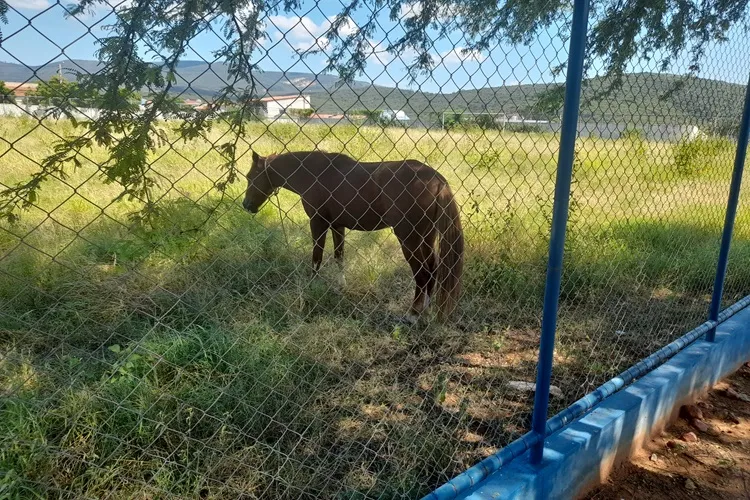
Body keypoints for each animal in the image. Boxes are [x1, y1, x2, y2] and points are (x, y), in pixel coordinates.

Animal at [244, 150, 464, 320]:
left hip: (409, 239)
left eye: (250, 176)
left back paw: (413, 313)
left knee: (422, 273)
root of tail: (436, 180)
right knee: (433, 270)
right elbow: (339, 256)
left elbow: (316, 258)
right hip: (426, 238)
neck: (314, 173)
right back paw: (426, 310)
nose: (246, 205)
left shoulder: (318, 222)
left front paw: (312, 287)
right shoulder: (337, 226)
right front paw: (340, 287)